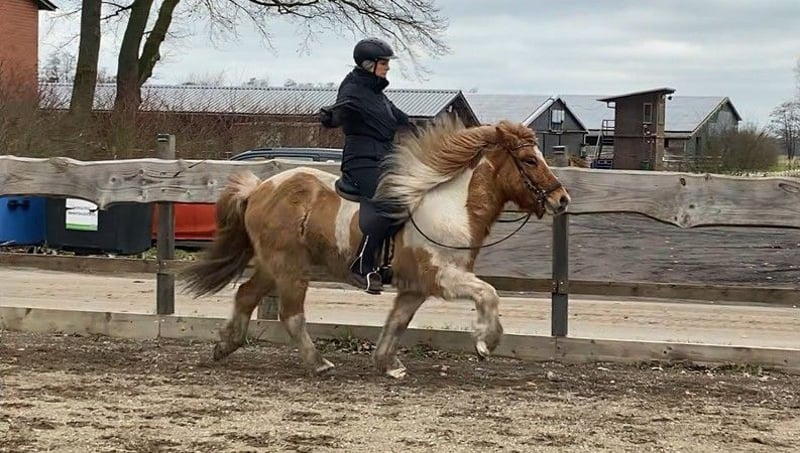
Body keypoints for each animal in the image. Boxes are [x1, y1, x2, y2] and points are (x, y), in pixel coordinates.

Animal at [180, 116, 571, 379]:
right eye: (530, 160)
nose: (562, 200)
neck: (450, 206)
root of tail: (260, 188)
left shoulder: (415, 288)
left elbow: (397, 321)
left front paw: (387, 363)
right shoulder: (442, 277)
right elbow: (489, 294)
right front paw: (485, 342)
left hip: (272, 265)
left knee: (246, 295)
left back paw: (224, 345)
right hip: (290, 267)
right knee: (291, 314)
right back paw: (318, 363)